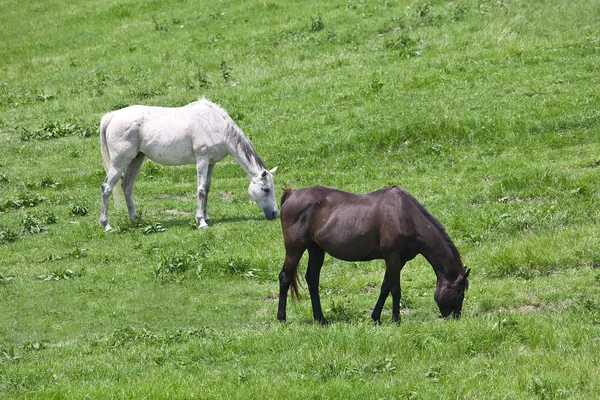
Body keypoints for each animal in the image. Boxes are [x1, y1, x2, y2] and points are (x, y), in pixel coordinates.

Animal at [98, 97, 276, 231]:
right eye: (266, 189)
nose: (274, 214)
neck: (215, 124)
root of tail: (112, 116)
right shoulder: (202, 159)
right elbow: (201, 190)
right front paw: (201, 222)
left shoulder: (211, 163)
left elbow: (207, 189)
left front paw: (206, 217)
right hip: (119, 162)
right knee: (107, 187)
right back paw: (106, 225)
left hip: (136, 159)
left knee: (127, 186)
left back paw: (134, 220)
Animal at [276, 185, 468, 324]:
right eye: (460, 293)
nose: (455, 317)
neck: (405, 215)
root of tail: (292, 193)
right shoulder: (392, 256)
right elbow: (395, 289)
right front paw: (396, 319)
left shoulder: (400, 260)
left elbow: (385, 287)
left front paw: (376, 317)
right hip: (295, 249)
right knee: (285, 277)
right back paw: (282, 318)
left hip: (316, 249)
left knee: (312, 279)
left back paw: (320, 319)